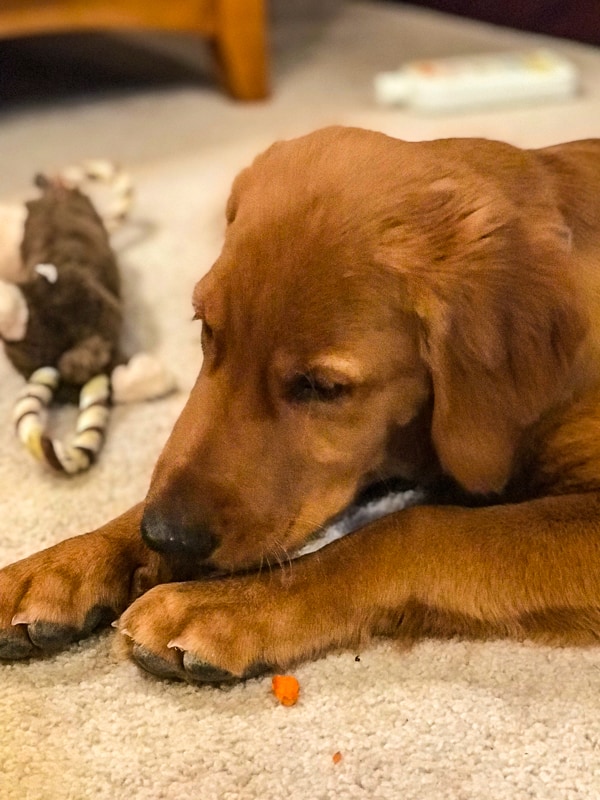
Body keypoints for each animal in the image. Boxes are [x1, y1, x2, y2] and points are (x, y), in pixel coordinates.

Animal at [1, 128, 600, 684]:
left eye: (323, 387)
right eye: (206, 330)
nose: (168, 535)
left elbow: (411, 531)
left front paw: (226, 606)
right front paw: (63, 565)